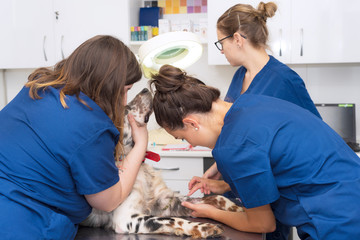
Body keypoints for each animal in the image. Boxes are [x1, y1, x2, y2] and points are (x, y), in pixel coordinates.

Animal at [81, 88, 245, 238]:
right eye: (126, 109)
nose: (145, 89)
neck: (138, 163)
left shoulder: (166, 201)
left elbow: (217, 197)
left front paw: (238, 209)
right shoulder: (126, 217)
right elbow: (173, 220)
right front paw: (203, 227)